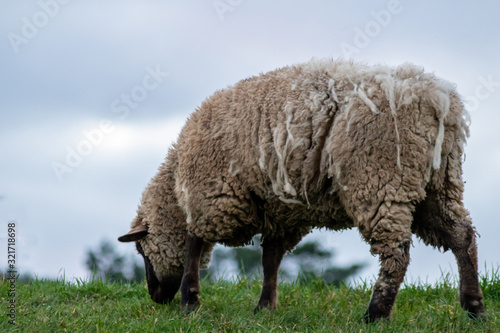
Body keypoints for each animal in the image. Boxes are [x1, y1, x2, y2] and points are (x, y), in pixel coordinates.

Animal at [118, 58, 484, 320]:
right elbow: (270, 260)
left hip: (380, 178)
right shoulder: (282, 212)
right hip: (439, 184)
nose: (155, 297)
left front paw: (189, 301)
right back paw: (474, 306)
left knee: (397, 251)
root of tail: (437, 99)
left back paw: (376, 314)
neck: (177, 185)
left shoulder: (211, 194)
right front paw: (264, 308)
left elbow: (194, 244)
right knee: (462, 236)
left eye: (141, 251)